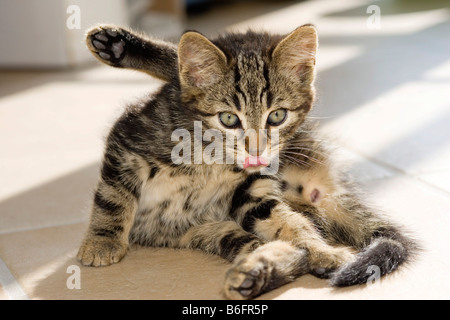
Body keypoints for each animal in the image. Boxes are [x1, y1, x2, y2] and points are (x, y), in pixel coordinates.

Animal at [78, 23, 418, 298]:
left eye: (277, 116)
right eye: (229, 118)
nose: (256, 149)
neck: (211, 158)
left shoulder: (252, 190)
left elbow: (289, 225)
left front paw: (324, 252)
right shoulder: (127, 142)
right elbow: (112, 198)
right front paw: (103, 241)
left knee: (289, 247)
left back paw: (255, 274)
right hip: (206, 228)